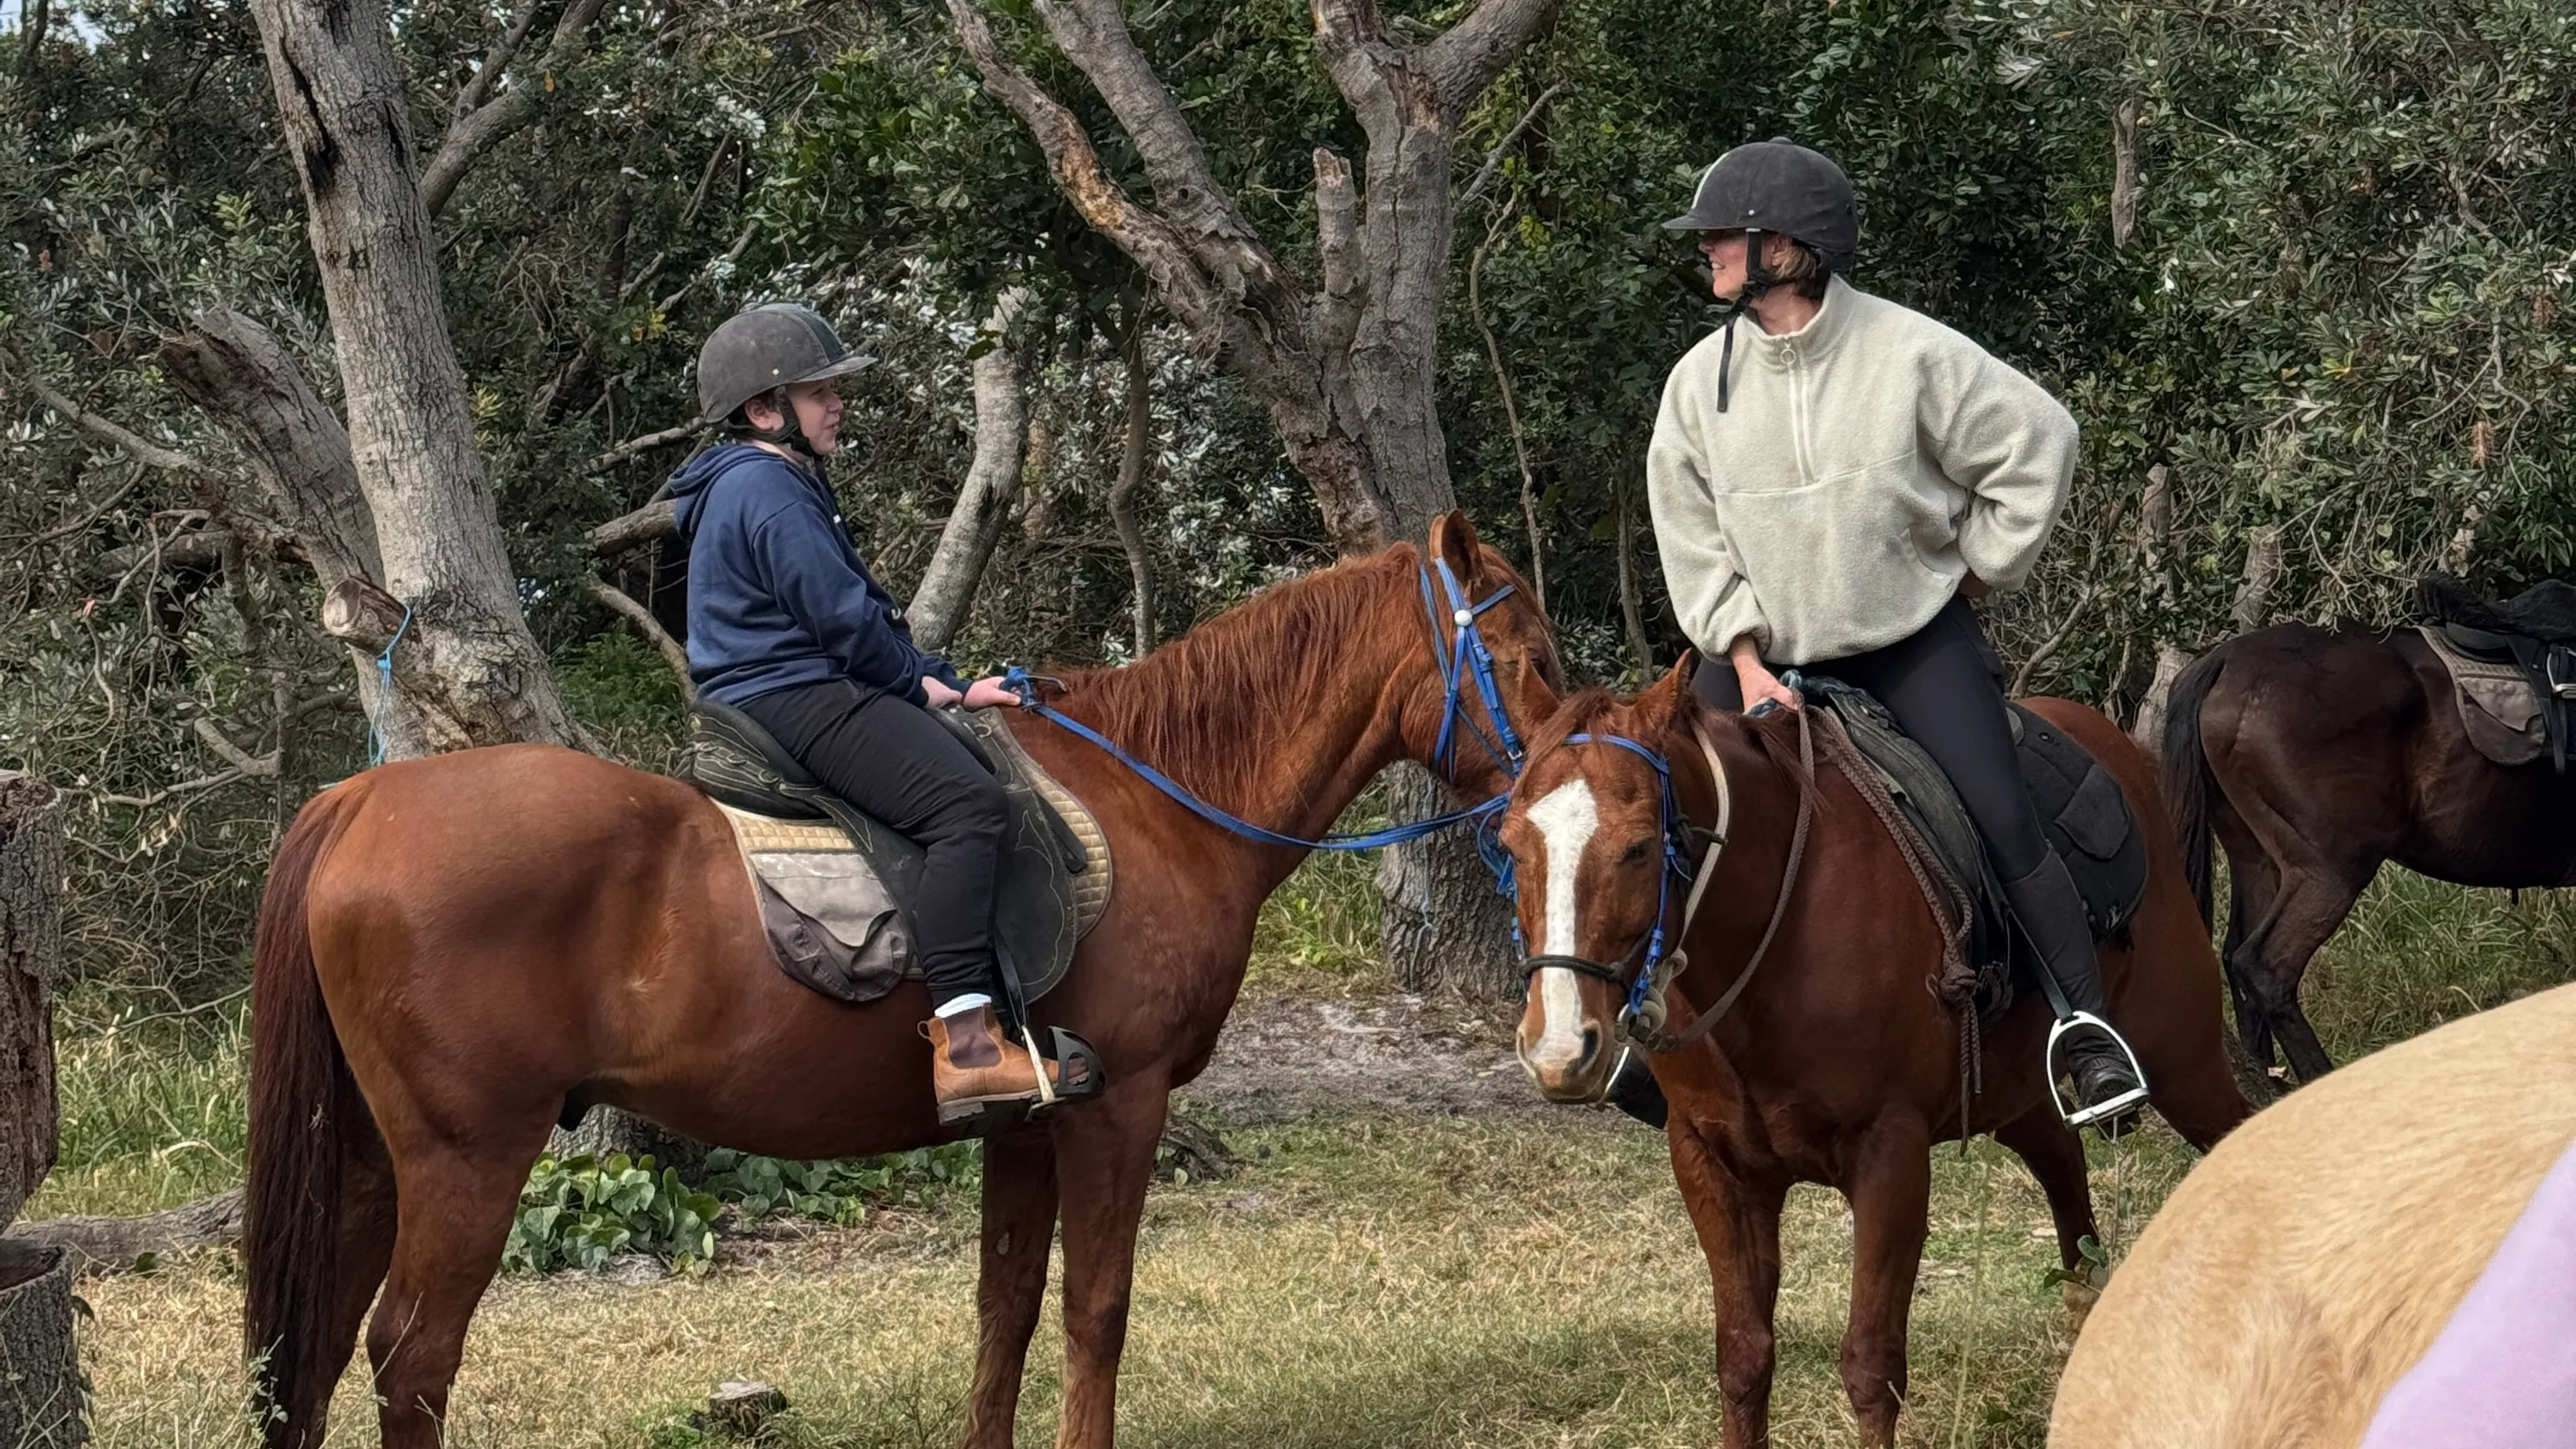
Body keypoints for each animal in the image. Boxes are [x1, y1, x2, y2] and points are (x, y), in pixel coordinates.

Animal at [241, 513, 1563, 1449]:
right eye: (1525, 657)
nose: (1569, 769)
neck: (1161, 799)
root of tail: (359, 798)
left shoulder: (1031, 1124)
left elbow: (1006, 1306)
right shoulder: (1124, 1107)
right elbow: (1097, 1310)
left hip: (368, 1159)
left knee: (315, 1353)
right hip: (468, 1160)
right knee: (412, 1357)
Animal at [1490, 660, 2251, 1448]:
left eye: (1639, 847)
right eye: (1511, 845)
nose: (1559, 1047)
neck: (1772, 941)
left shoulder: (1890, 1158)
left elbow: (1870, 1365)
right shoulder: (1710, 1163)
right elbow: (1743, 1358)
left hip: (2185, 1064)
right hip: (2016, 1095)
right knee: (2065, 1173)